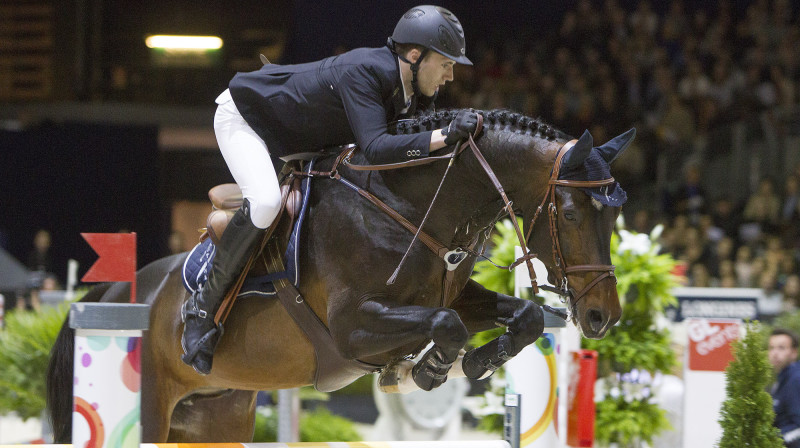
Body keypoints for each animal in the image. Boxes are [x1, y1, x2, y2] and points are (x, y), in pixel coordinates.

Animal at [47, 108, 636, 440]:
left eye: (614, 216)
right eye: (571, 213)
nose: (602, 316)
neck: (407, 205)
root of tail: (121, 290)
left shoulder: (451, 291)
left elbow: (526, 315)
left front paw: (477, 362)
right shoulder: (354, 327)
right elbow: (445, 324)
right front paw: (429, 370)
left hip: (216, 414)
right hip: (154, 402)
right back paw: (197, 330)